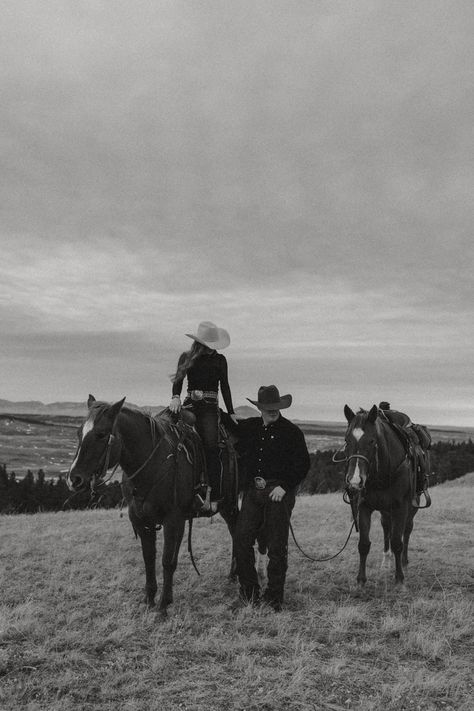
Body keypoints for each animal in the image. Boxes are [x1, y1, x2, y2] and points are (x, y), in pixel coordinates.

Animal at [66, 394, 239, 616]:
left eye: (101, 434)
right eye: (79, 432)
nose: (74, 480)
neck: (153, 465)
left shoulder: (174, 520)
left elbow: (168, 561)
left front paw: (163, 605)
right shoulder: (141, 520)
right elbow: (149, 558)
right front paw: (149, 599)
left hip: (230, 502)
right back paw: (233, 574)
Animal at [342, 404, 420, 588]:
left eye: (371, 441)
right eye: (347, 440)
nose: (355, 481)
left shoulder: (401, 508)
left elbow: (397, 542)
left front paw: (399, 578)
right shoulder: (363, 507)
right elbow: (364, 544)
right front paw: (361, 579)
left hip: (412, 507)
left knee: (407, 530)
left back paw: (404, 562)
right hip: (385, 510)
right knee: (386, 528)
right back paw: (386, 561)